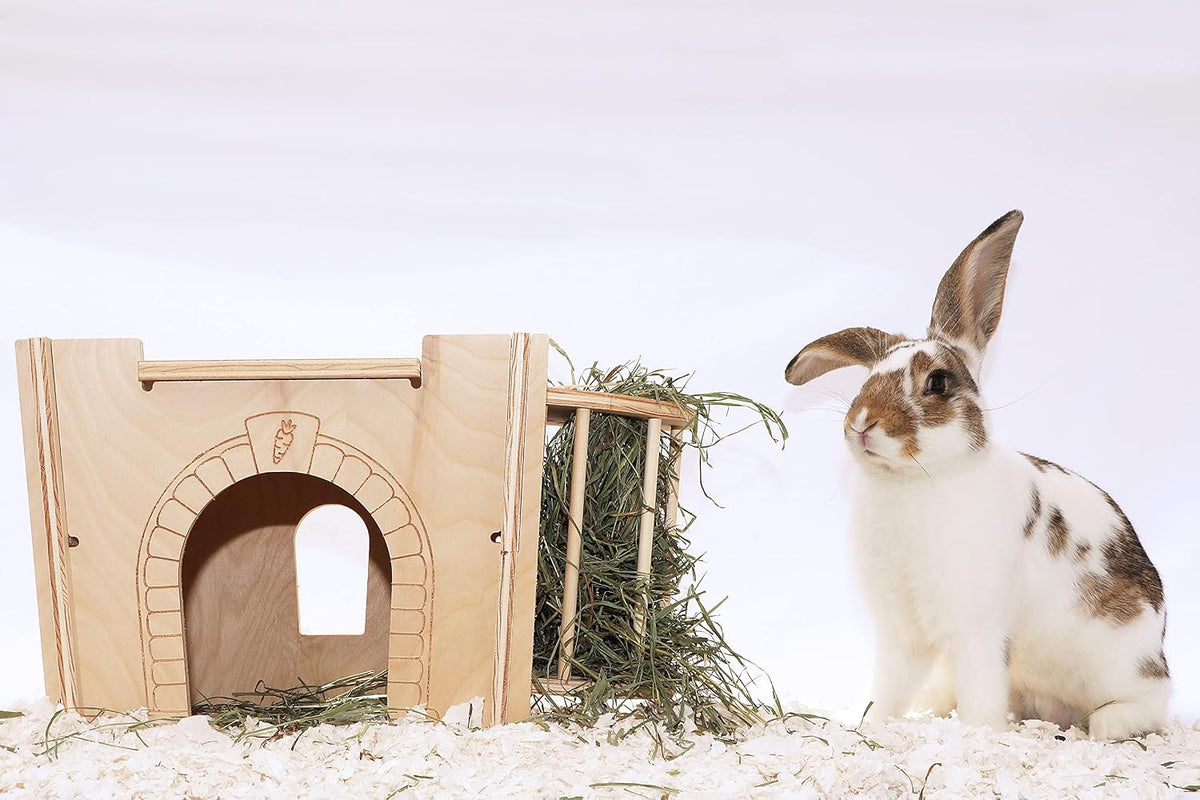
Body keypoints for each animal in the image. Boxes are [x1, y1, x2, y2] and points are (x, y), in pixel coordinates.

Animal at [784, 210, 1169, 740]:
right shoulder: (900, 633)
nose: (861, 423)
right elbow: (887, 687)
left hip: (1126, 661)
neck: (912, 482)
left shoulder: (977, 626)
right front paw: (868, 726)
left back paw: (1108, 724)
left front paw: (976, 734)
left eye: (938, 383)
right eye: (867, 379)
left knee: (1152, 703)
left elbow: (982, 689)